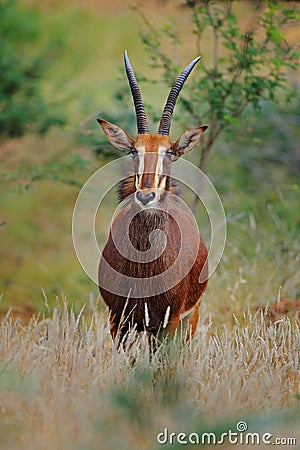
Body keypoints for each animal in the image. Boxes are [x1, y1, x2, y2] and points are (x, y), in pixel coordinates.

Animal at [98, 51, 209, 342]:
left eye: (169, 152)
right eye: (133, 150)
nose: (146, 196)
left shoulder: (168, 322)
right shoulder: (117, 319)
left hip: (187, 320)